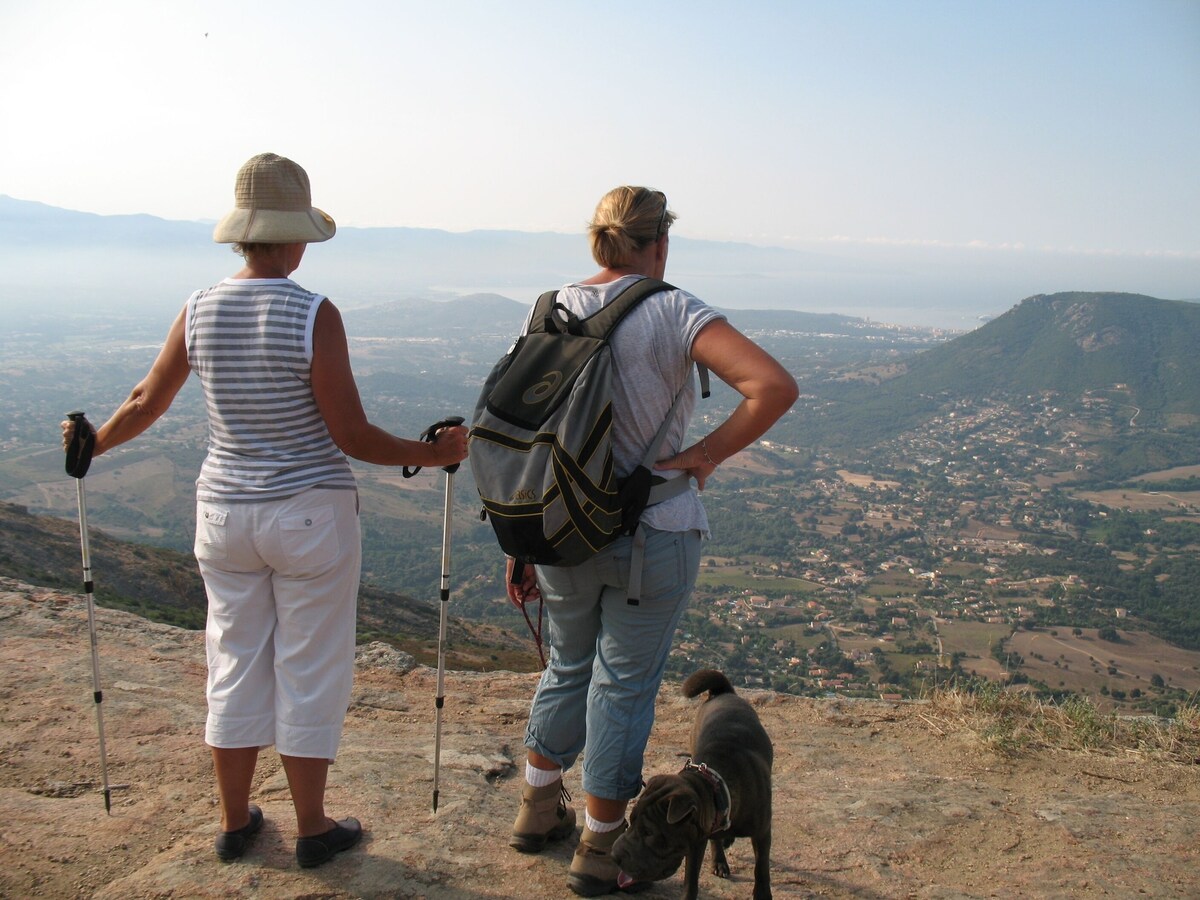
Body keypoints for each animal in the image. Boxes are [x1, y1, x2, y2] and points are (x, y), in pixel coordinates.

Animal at [614, 672, 772, 897]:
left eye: (649, 833)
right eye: (631, 821)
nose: (614, 855)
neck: (718, 786)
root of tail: (722, 692)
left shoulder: (763, 832)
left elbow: (761, 868)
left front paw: (762, 893)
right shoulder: (696, 841)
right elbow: (691, 879)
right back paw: (720, 859)